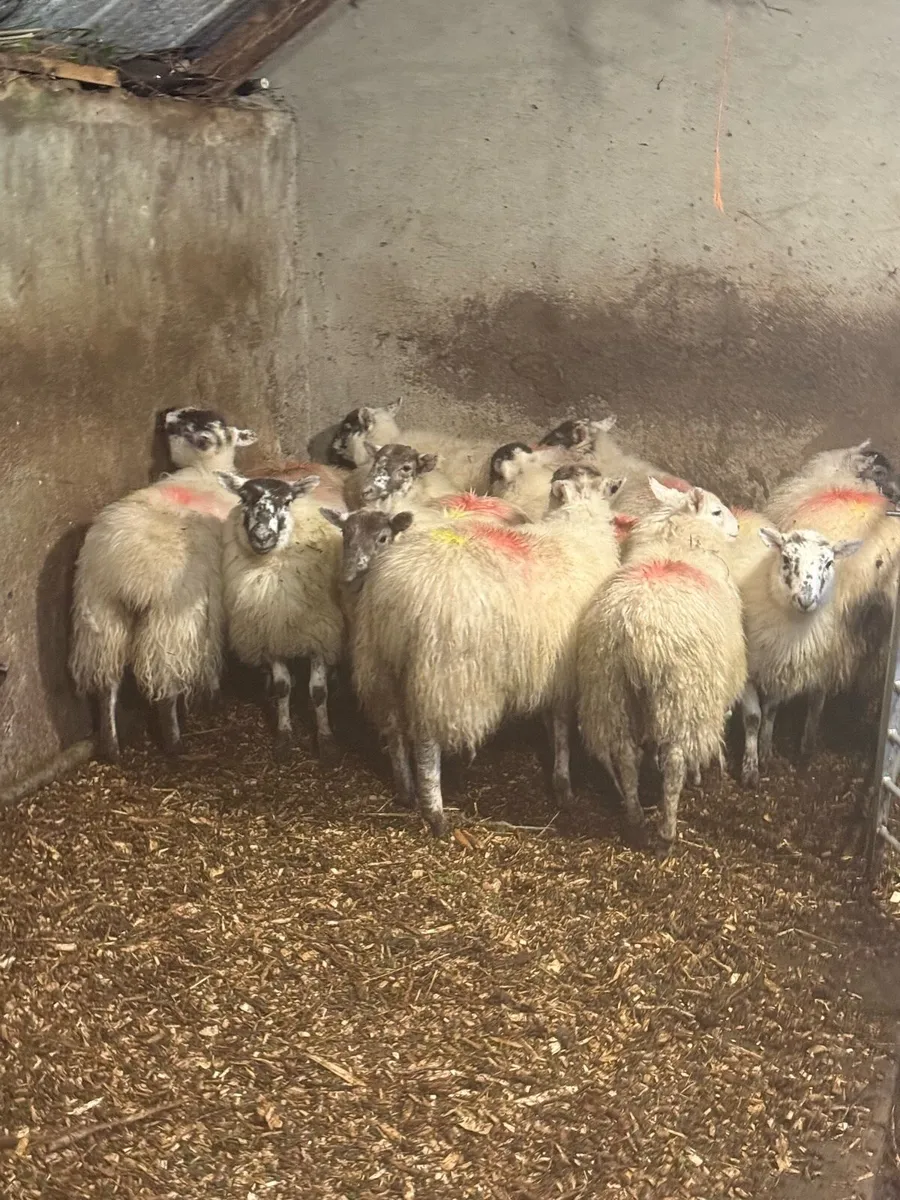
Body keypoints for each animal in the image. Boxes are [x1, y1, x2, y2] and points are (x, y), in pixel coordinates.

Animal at [69, 407, 258, 762]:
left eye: (184, 422)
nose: (164, 413)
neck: (203, 471)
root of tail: (125, 575)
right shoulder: (212, 604)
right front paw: (213, 693)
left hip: (101, 614)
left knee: (107, 684)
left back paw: (110, 745)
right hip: (171, 622)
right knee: (164, 685)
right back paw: (174, 743)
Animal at [218, 473, 348, 761]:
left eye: (287, 501)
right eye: (243, 498)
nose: (262, 536)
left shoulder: (320, 634)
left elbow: (318, 692)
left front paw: (326, 739)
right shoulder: (271, 632)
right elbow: (282, 687)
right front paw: (284, 734)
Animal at [350, 464, 623, 835]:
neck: (578, 526)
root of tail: (399, 590)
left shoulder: (549, 665)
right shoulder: (564, 667)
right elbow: (563, 724)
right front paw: (564, 784)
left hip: (379, 663)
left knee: (393, 731)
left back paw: (406, 790)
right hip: (443, 672)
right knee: (425, 742)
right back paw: (435, 812)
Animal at [577, 483, 746, 855]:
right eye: (716, 511)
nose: (738, 529)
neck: (676, 544)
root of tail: (639, 634)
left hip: (611, 689)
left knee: (625, 755)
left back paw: (636, 818)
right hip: (682, 694)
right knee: (674, 760)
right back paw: (667, 832)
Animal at [738, 527, 863, 786]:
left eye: (829, 563)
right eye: (786, 559)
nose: (806, 600)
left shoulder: (779, 668)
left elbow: (771, 711)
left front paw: (765, 751)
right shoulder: (747, 672)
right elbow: (753, 717)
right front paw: (750, 770)